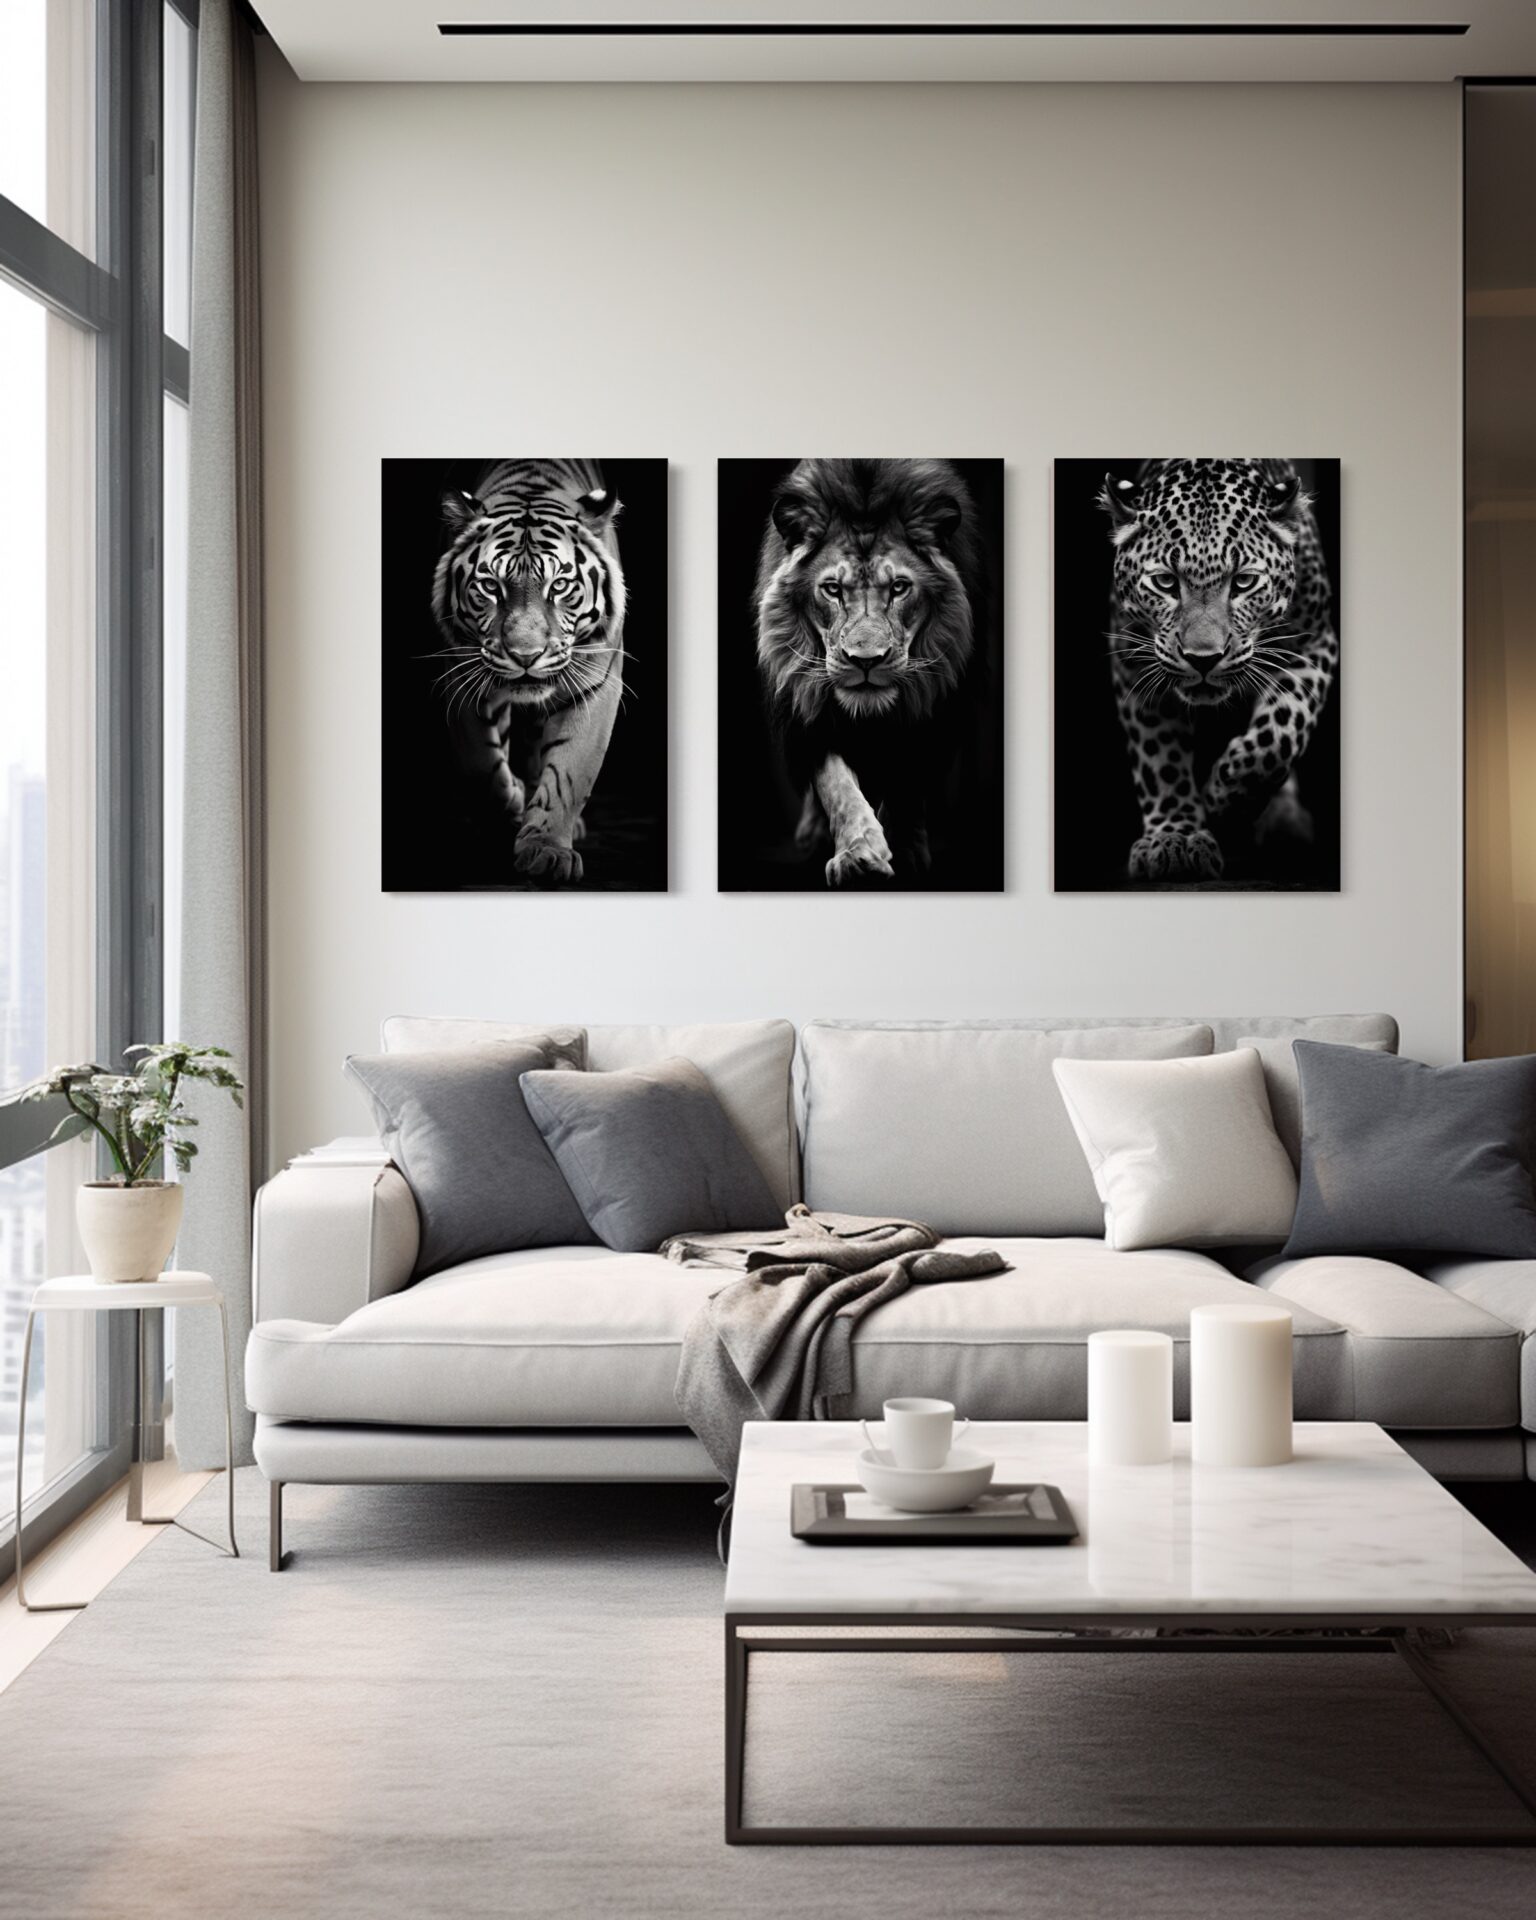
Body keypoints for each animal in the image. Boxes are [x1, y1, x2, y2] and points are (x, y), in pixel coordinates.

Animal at [430, 458, 626, 885]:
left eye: (561, 585)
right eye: (490, 586)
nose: (525, 655)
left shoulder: (595, 685)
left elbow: (570, 771)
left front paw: (547, 850)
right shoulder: (463, 679)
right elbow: (482, 766)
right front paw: (514, 804)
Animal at [753, 458, 989, 887]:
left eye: (898, 587)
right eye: (832, 589)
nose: (866, 660)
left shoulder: (934, 708)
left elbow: (908, 782)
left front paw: (907, 850)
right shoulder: (809, 708)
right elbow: (835, 784)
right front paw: (858, 854)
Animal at [1100, 458, 1338, 884]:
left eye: (1244, 582)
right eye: (1165, 582)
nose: (1203, 658)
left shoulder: (1315, 644)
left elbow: (1279, 734)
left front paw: (1225, 799)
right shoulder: (1134, 665)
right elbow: (1160, 758)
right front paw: (1174, 837)